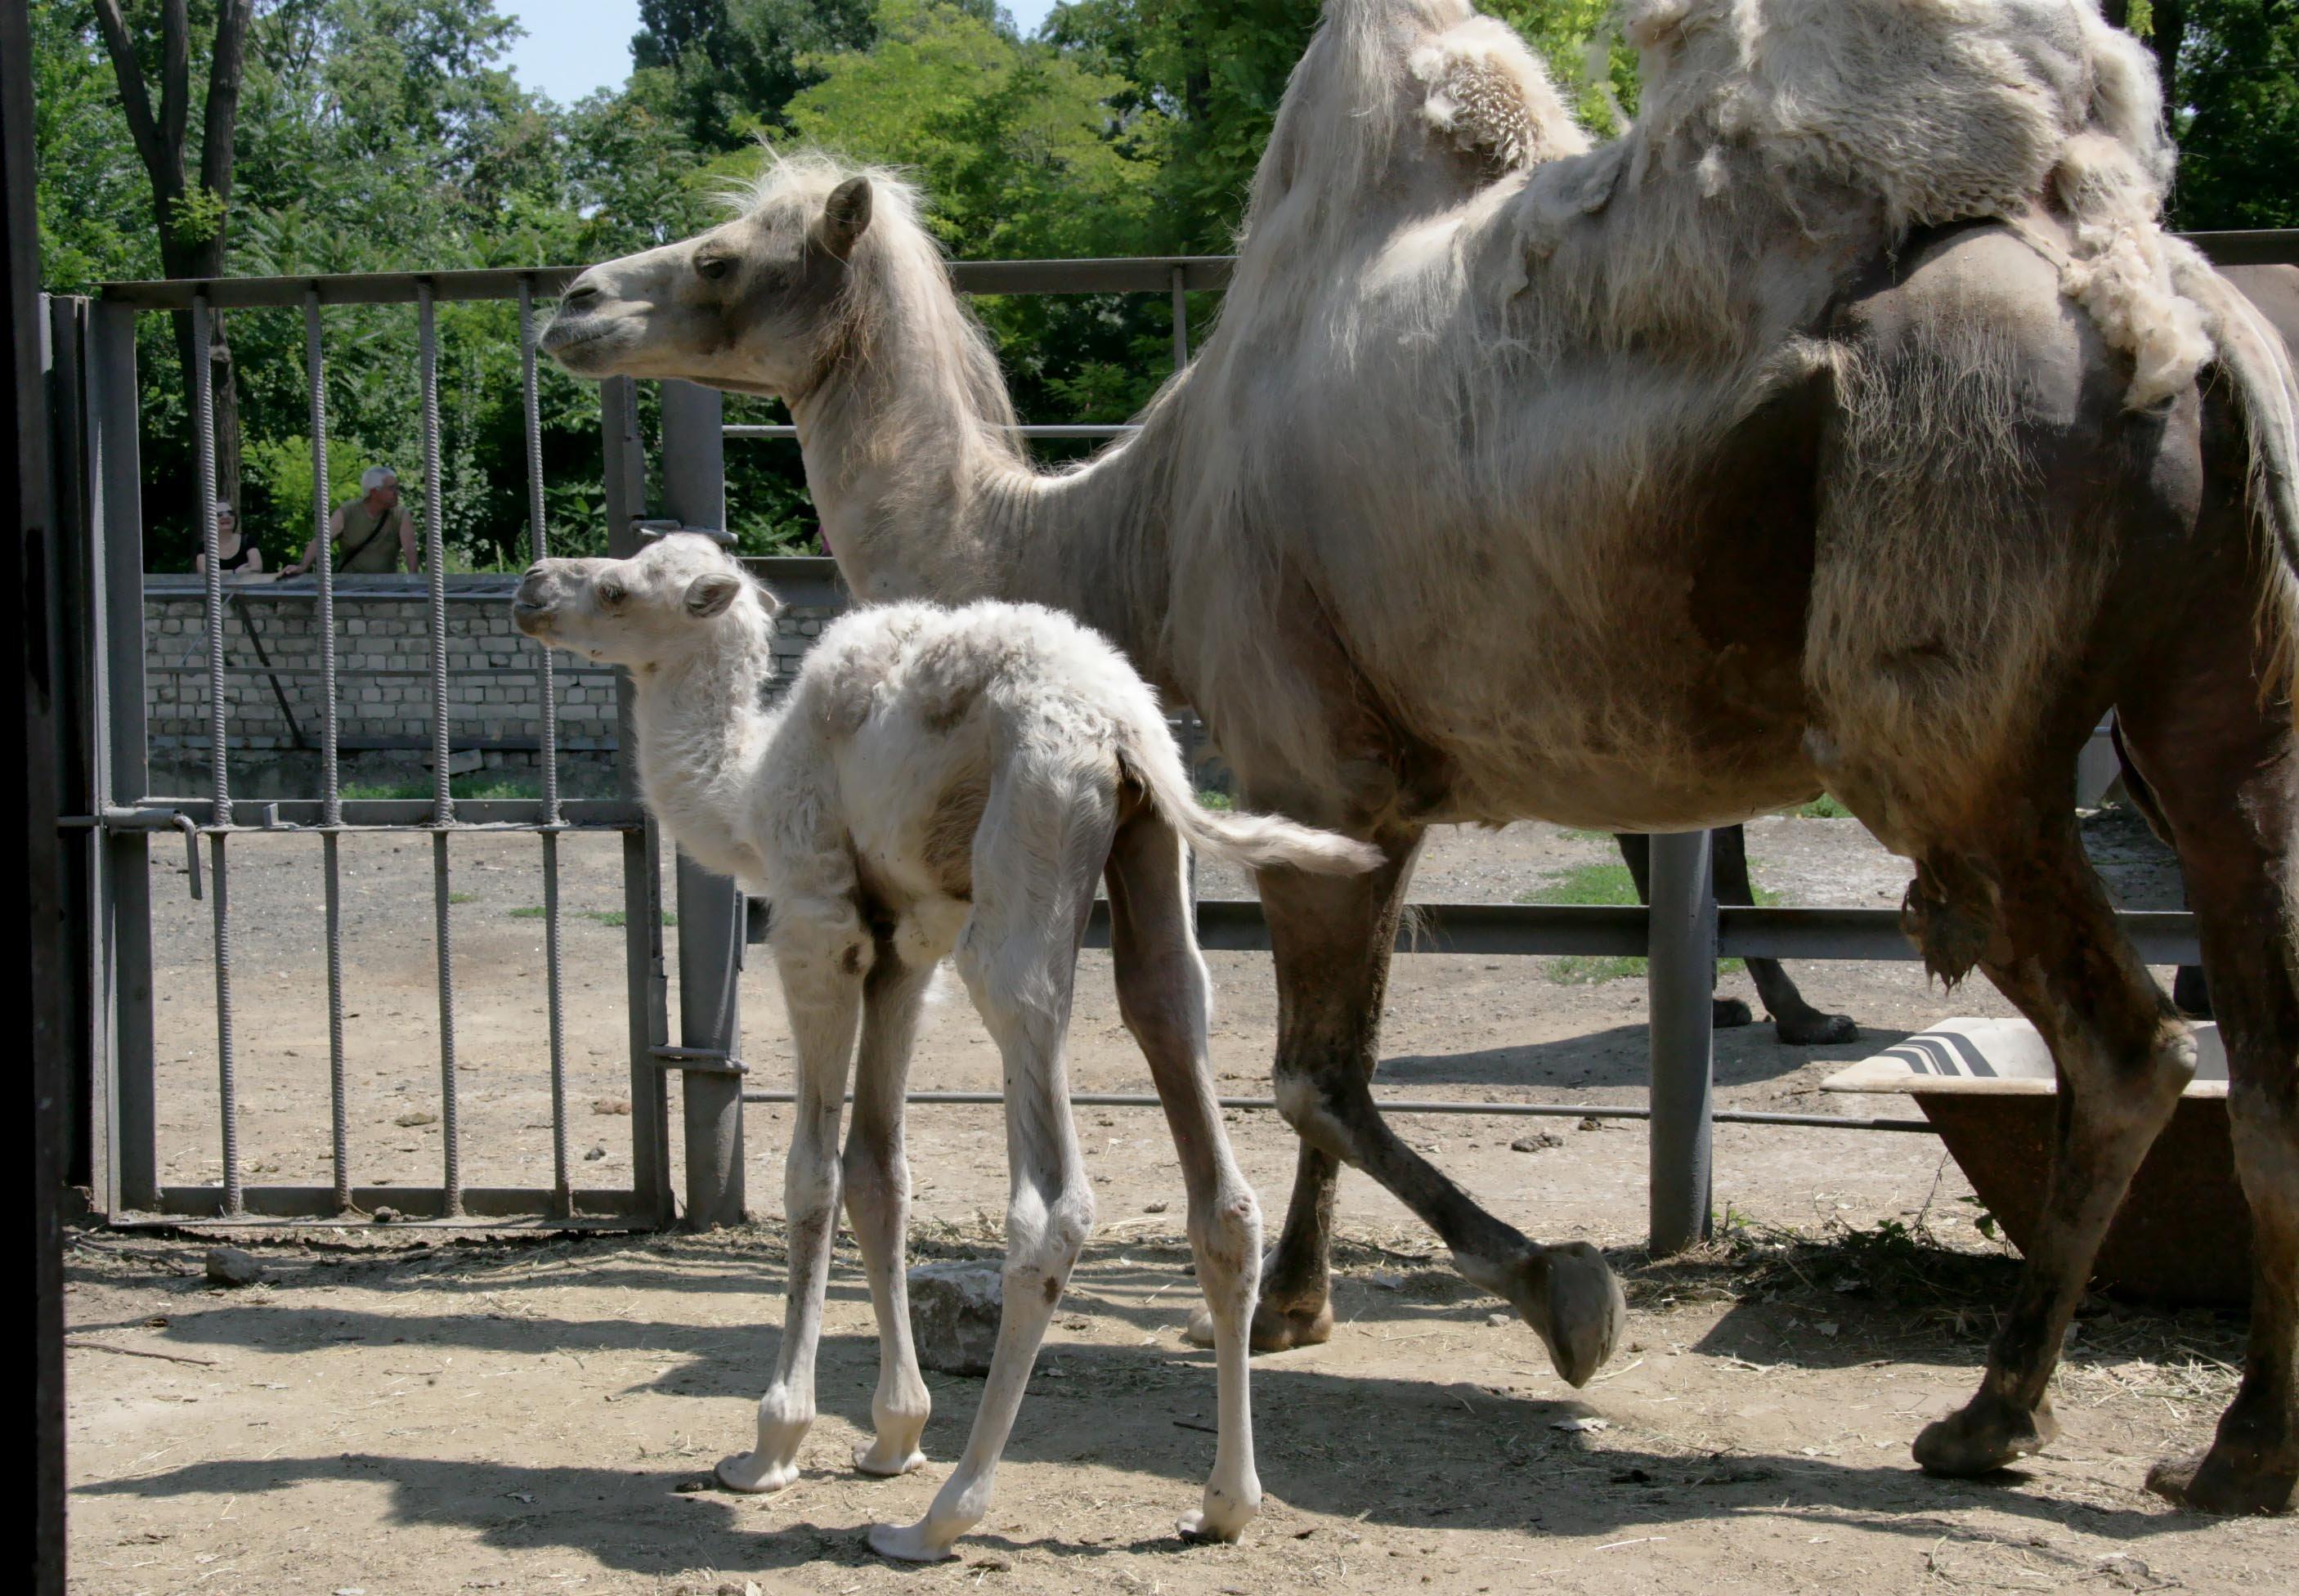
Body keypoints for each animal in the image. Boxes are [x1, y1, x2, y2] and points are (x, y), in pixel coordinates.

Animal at [513, 533, 1379, 1558]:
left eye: (615, 588)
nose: (530, 588)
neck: (748, 789)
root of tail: (1123, 728)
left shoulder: (817, 922)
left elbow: (811, 1170)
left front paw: (771, 1446)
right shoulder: (902, 946)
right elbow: (878, 1172)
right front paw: (892, 1434)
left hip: (1024, 851)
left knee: (1050, 1189)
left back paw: (940, 1517)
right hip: (1147, 848)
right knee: (1185, 1065)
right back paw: (1222, 1505)